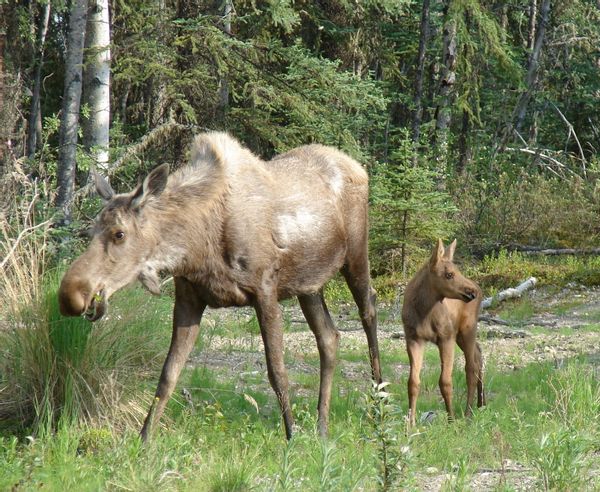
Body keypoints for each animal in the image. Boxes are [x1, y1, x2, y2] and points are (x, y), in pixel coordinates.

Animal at [58, 133, 382, 440]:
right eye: (91, 230)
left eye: (119, 233)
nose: (70, 295)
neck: (195, 248)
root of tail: (359, 167)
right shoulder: (188, 299)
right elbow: (168, 374)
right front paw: (144, 439)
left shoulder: (265, 290)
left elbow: (277, 371)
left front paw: (291, 436)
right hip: (309, 285)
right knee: (329, 336)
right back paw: (322, 427)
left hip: (355, 255)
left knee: (369, 309)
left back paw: (380, 406)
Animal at [400, 239, 486, 426]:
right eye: (449, 274)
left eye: (457, 271)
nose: (472, 292)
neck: (424, 311)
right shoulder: (414, 338)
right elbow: (413, 382)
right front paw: (411, 423)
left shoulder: (445, 337)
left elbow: (445, 381)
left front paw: (451, 419)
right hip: (460, 335)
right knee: (478, 353)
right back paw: (481, 403)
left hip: (467, 329)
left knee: (471, 367)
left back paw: (468, 413)